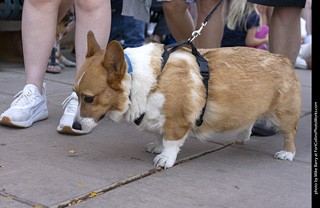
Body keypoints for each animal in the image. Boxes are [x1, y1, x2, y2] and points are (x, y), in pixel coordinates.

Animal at [72, 31, 300, 169]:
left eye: (89, 98)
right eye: (75, 94)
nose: (75, 126)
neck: (138, 79)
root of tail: (284, 59)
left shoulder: (177, 120)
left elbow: (171, 141)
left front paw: (165, 158)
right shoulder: (158, 116)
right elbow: (159, 134)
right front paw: (157, 146)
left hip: (283, 115)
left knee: (290, 133)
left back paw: (287, 153)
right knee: (249, 120)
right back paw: (243, 136)